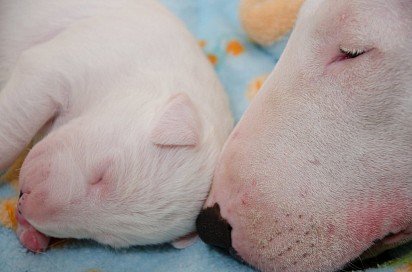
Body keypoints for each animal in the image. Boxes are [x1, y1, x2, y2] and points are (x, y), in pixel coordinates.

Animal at [0, 0, 232, 252]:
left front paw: (32, 235)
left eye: (106, 238)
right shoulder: (58, 66)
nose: (25, 204)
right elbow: (14, 127)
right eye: (102, 175)